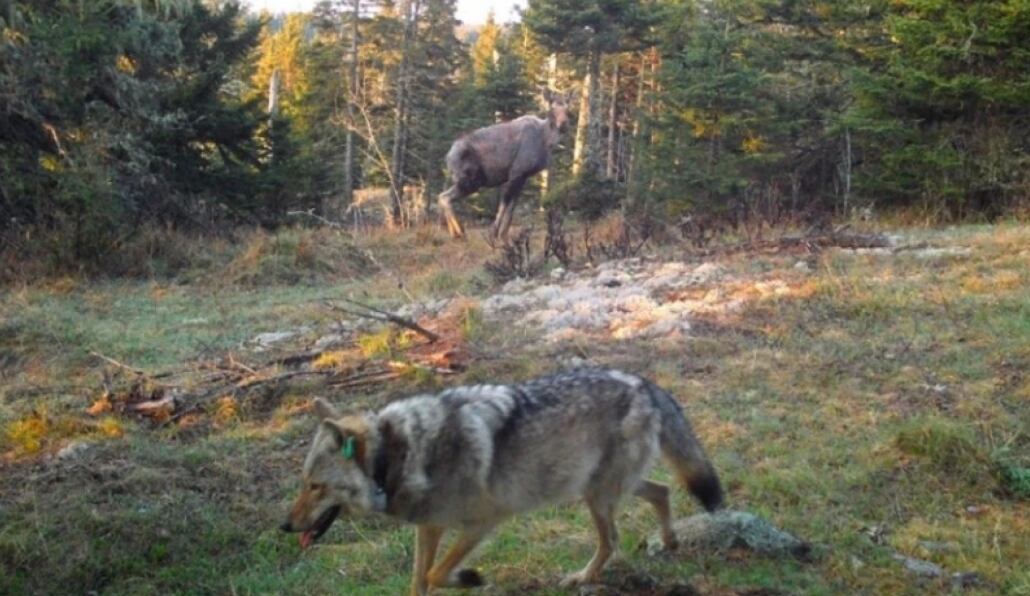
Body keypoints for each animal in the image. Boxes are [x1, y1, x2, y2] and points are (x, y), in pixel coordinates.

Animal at [281, 368, 723, 595]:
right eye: (303, 482)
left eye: (316, 487)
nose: (285, 526)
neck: (399, 454)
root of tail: (645, 383)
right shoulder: (430, 526)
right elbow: (419, 580)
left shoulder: (483, 522)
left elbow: (436, 574)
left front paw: (470, 578)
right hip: (601, 488)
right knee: (663, 491)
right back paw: (669, 542)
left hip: (596, 496)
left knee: (612, 539)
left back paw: (582, 578)